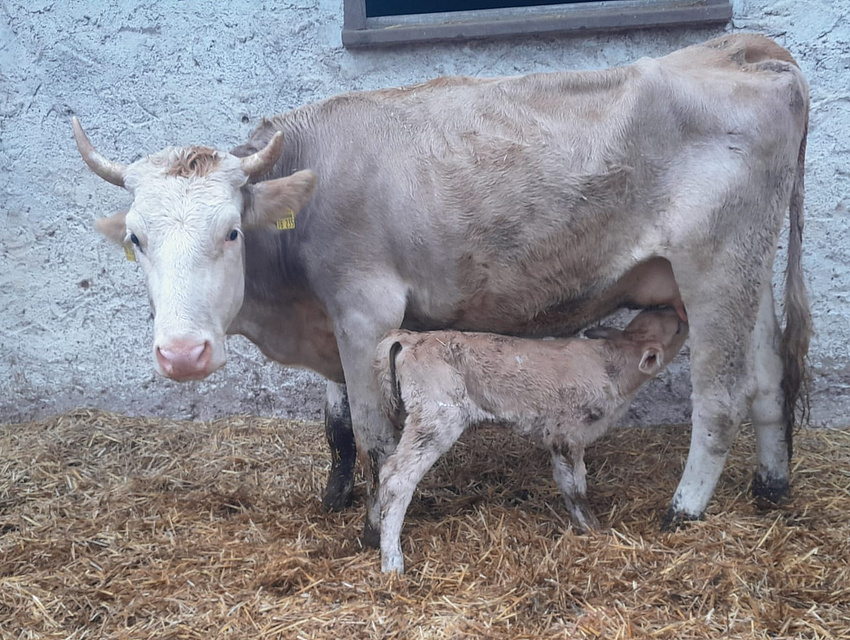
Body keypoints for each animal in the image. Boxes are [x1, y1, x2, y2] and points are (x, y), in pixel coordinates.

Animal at [375, 307, 689, 573]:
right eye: (677, 328)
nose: (680, 312)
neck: (611, 364)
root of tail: (410, 337)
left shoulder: (557, 436)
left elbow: (564, 480)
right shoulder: (568, 432)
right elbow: (576, 484)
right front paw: (593, 527)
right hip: (437, 418)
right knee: (396, 477)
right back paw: (392, 562)